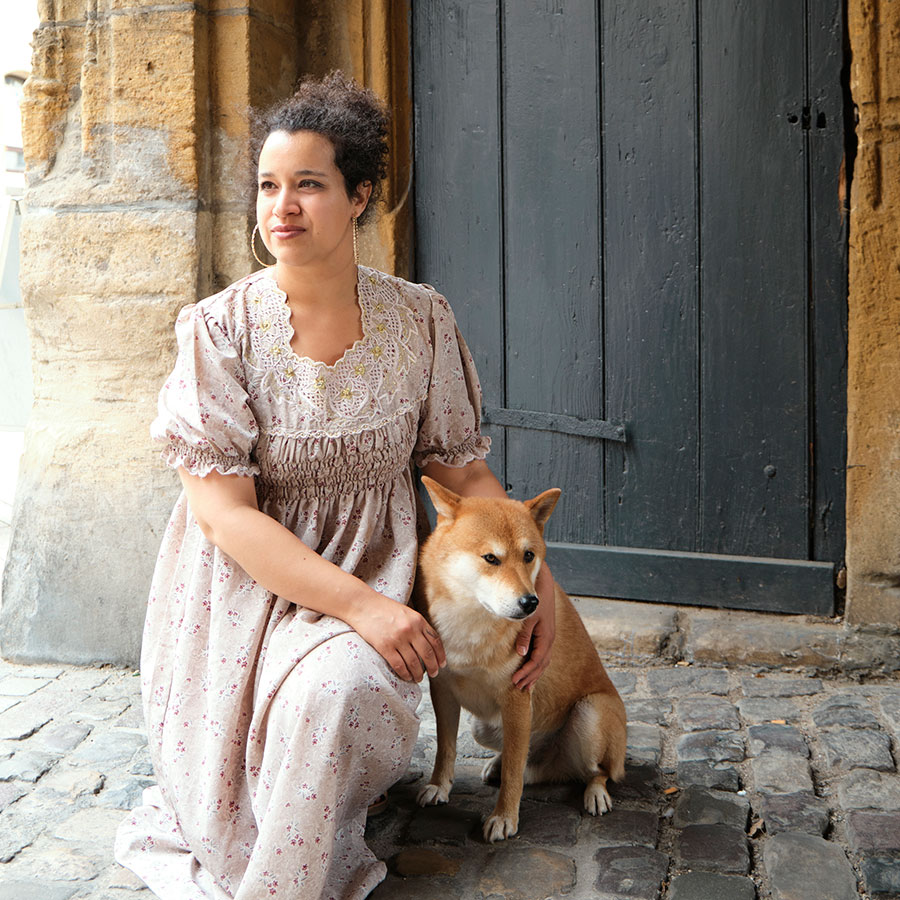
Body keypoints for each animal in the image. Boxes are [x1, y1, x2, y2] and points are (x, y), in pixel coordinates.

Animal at [414, 478, 624, 844]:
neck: (472, 622)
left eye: (528, 555)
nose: (531, 603)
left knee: (593, 772)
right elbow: (445, 747)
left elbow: (514, 774)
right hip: (485, 726)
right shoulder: (442, 689)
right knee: (533, 766)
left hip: (589, 714)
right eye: (490, 558)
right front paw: (439, 786)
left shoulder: (517, 696)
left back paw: (595, 794)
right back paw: (500, 764)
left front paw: (503, 817)